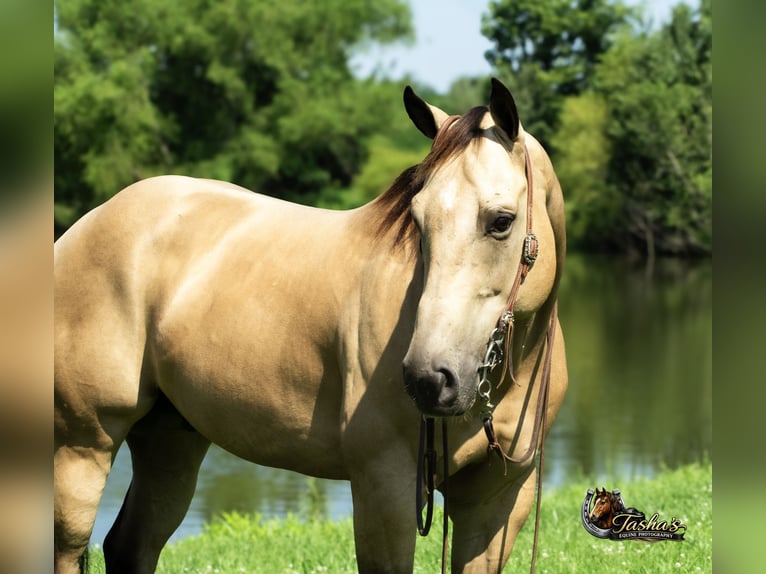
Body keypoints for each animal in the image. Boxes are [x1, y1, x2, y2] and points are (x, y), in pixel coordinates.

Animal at [54, 78, 568, 573]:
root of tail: (80, 228)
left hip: (170, 440)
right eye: (417, 221)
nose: (429, 379)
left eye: (500, 221)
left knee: (131, 546)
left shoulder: (497, 500)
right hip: (84, 447)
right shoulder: (383, 484)